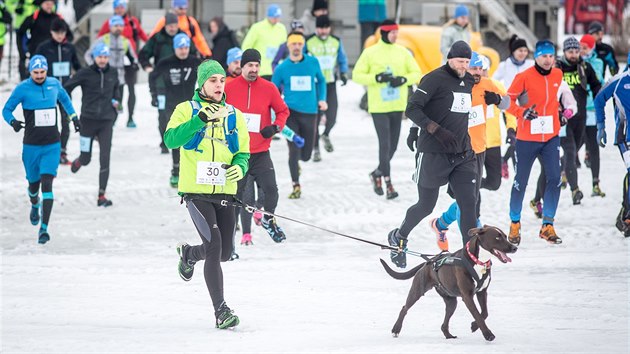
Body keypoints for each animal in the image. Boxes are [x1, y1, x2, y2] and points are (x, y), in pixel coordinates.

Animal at [380, 225, 520, 342]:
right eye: (497, 237)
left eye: (505, 236)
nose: (515, 248)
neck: (477, 261)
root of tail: (428, 262)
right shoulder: (467, 296)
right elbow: (478, 315)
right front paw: (488, 334)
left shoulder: (482, 292)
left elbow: (484, 313)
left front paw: (474, 326)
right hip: (417, 290)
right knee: (404, 308)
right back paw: (396, 329)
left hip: (451, 301)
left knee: (444, 323)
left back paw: (448, 335)